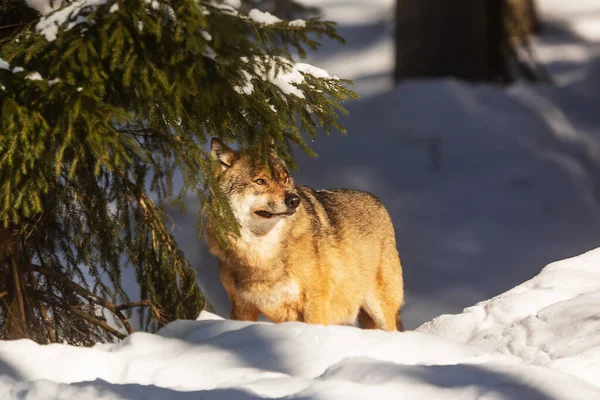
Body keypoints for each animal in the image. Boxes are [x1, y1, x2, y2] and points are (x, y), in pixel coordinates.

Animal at [204, 138, 406, 332]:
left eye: (285, 179)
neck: (261, 251)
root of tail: (377, 201)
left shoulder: (314, 302)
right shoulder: (242, 307)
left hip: (380, 309)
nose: (294, 200)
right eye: (260, 181)